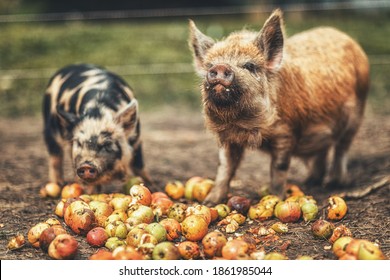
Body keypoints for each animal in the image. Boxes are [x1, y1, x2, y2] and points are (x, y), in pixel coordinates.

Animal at [42, 63, 152, 191]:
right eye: (79, 143)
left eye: (107, 144)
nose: (85, 165)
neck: (98, 114)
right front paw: (91, 192)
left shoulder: (137, 138)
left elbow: (139, 164)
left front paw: (150, 184)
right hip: (49, 128)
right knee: (55, 157)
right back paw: (58, 184)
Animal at [188, 9, 368, 206]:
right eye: (210, 66)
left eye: (249, 66)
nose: (221, 67)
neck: (242, 124)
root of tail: (349, 39)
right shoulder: (228, 137)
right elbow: (224, 167)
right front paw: (209, 202)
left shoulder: (285, 133)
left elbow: (279, 168)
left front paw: (276, 199)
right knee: (323, 149)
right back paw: (311, 181)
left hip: (357, 113)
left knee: (341, 149)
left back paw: (336, 184)